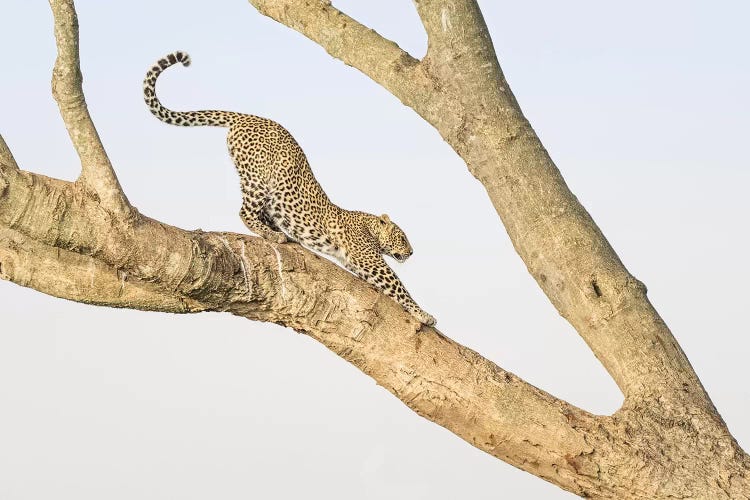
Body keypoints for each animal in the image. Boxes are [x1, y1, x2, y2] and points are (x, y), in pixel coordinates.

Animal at [144, 48, 438, 326]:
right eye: (402, 237)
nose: (411, 252)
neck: (368, 225)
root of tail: (246, 117)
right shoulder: (369, 259)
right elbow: (398, 286)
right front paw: (424, 315)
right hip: (260, 178)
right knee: (245, 212)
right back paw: (274, 235)